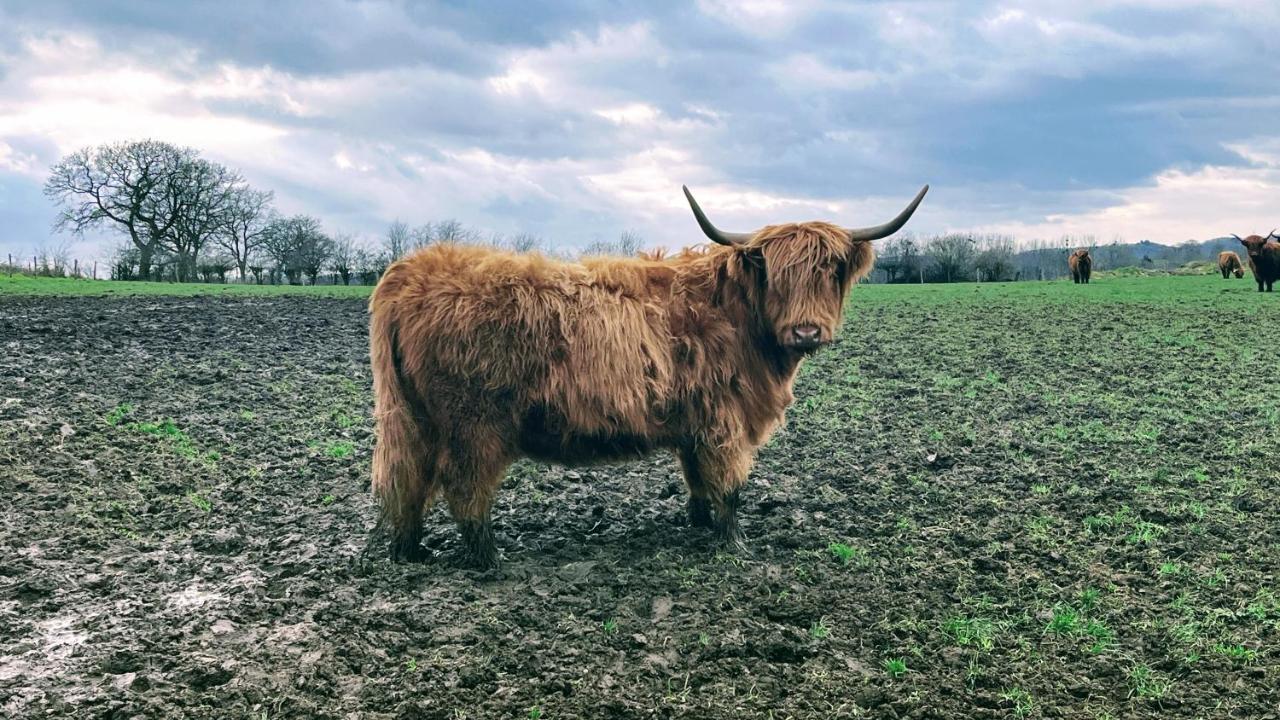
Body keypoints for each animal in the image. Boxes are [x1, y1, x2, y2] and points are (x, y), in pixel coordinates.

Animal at [371, 181, 931, 563]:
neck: (738, 315)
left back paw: (411, 550)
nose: (806, 331)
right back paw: (488, 558)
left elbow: (698, 479)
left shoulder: (694, 423)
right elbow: (728, 481)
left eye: (829, 270)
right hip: (474, 423)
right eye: (777, 272)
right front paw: (733, 542)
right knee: (462, 486)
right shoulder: (724, 418)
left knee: (410, 477)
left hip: (418, 418)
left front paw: (699, 524)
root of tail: (411, 270)